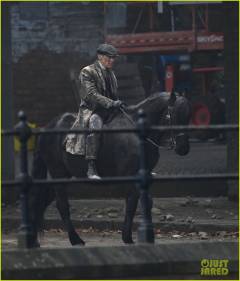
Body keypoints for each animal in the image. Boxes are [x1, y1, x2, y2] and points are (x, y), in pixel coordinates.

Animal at [29, 91, 191, 245]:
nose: (183, 148)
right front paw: (134, 237)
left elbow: (139, 203)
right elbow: (137, 203)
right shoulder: (132, 176)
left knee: (45, 200)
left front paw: (139, 236)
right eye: (175, 115)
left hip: (63, 175)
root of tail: (48, 127)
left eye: (188, 116)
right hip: (58, 172)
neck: (137, 132)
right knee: (62, 205)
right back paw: (75, 240)